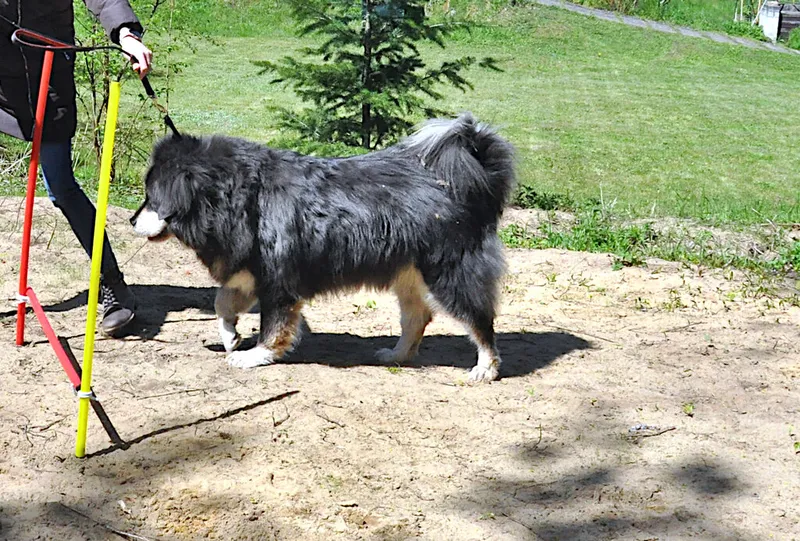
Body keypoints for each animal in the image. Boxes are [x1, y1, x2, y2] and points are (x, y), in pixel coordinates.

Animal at [131, 113, 515, 382]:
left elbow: (273, 327)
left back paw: (486, 368)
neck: (241, 197)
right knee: (417, 317)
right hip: (408, 273)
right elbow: (221, 301)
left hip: (449, 272)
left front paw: (254, 355)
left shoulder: (278, 280)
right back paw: (396, 355)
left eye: (152, 198)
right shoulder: (251, 271)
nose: (132, 221)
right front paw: (230, 337)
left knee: (479, 322)